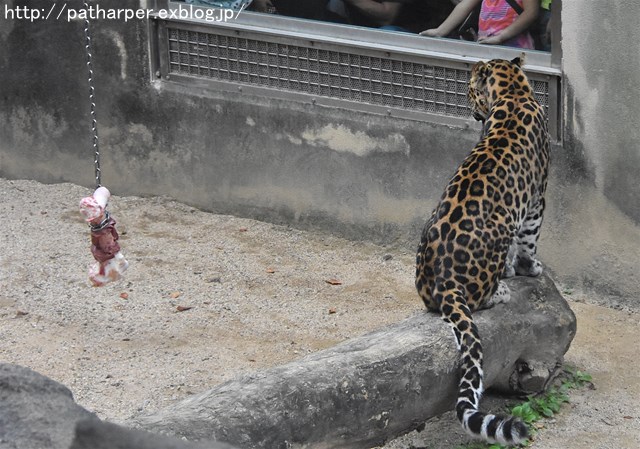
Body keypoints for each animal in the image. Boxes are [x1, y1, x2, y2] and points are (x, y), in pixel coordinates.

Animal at [416, 55, 552, 444]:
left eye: (468, 89)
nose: (471, 108)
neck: (514, 90)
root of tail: (444, 279)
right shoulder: (536, 200)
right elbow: (528, 241)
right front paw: (529, 269)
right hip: (500, 225)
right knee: (481, 296)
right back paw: (501, 290)